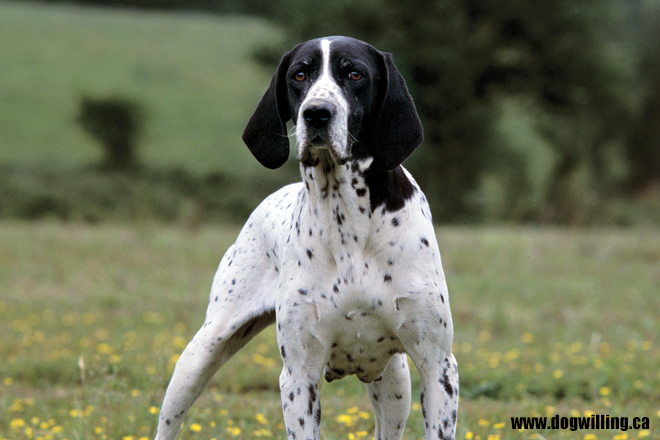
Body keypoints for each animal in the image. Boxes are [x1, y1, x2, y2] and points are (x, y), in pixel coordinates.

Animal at [157, 35, 462, 440]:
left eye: (354, 74)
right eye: (299, 75)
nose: (317, 113)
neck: (346, 216)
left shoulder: (438, 366)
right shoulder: (299, 376)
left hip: (395, 382)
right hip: (200, 354)